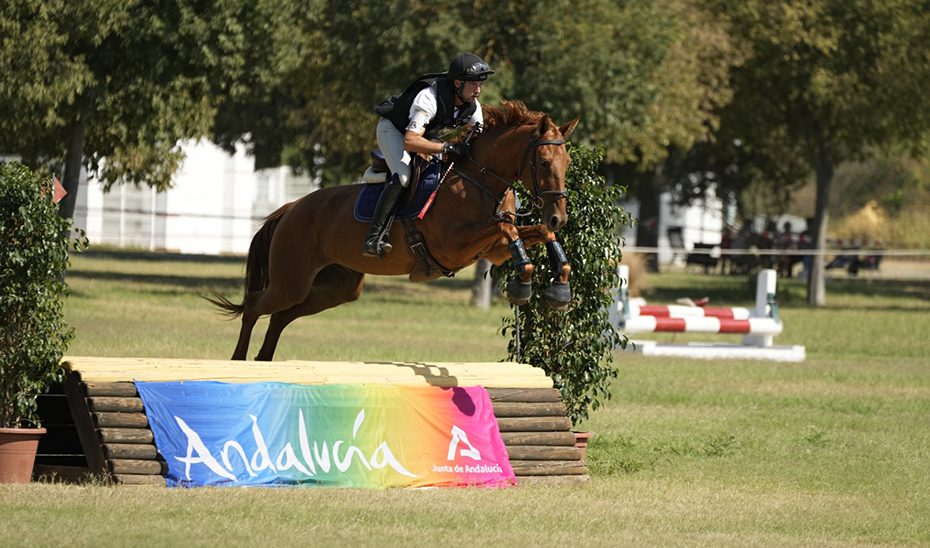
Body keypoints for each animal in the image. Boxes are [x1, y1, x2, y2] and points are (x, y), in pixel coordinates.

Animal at [207, 100, 579, 361]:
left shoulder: (491, 251)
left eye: (568, 163)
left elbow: (531, 234)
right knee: (255, 307)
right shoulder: (453, 246)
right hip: (292, 280)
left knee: (280, 317)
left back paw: (264, 363)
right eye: (544, 162)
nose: (559, 217)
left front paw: (557, 286)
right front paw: (524, 284)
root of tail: (290, 210)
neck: (480, 179)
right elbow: (507, 229)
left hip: (336, 288)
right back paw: (238, 362)